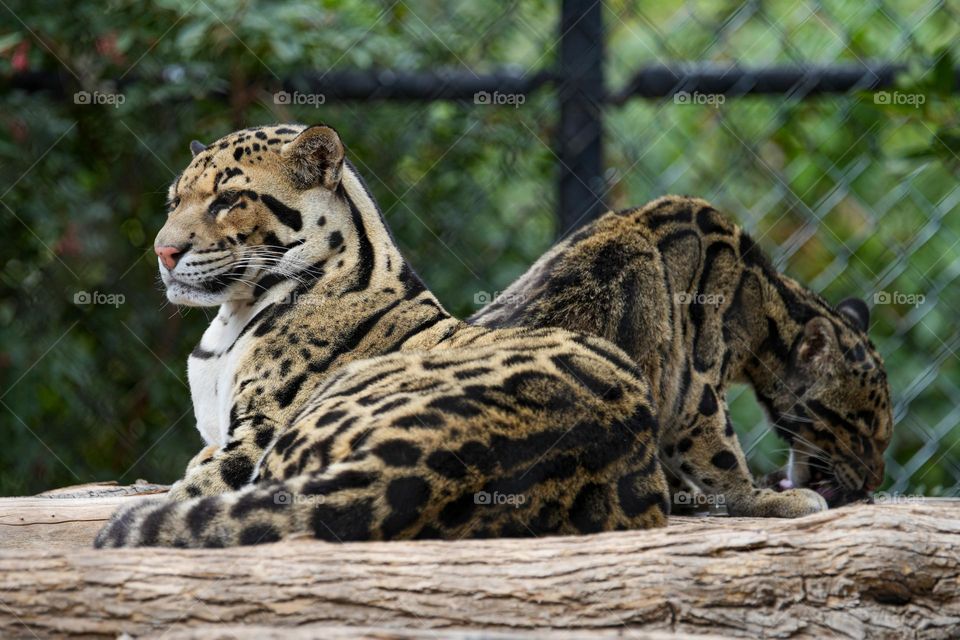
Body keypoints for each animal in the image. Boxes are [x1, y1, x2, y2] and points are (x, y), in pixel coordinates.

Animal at [94, 124, 670, 548]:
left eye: (230, 198)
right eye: (174, 202)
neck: (232, 317)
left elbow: (192, 487)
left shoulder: (253, 435)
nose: (163, 251)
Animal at [470, 197, 894, 516]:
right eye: (859, 430)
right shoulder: (694, 385)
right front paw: (761, 499)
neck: (764, 299)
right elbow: (720, 452)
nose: (875, 480)